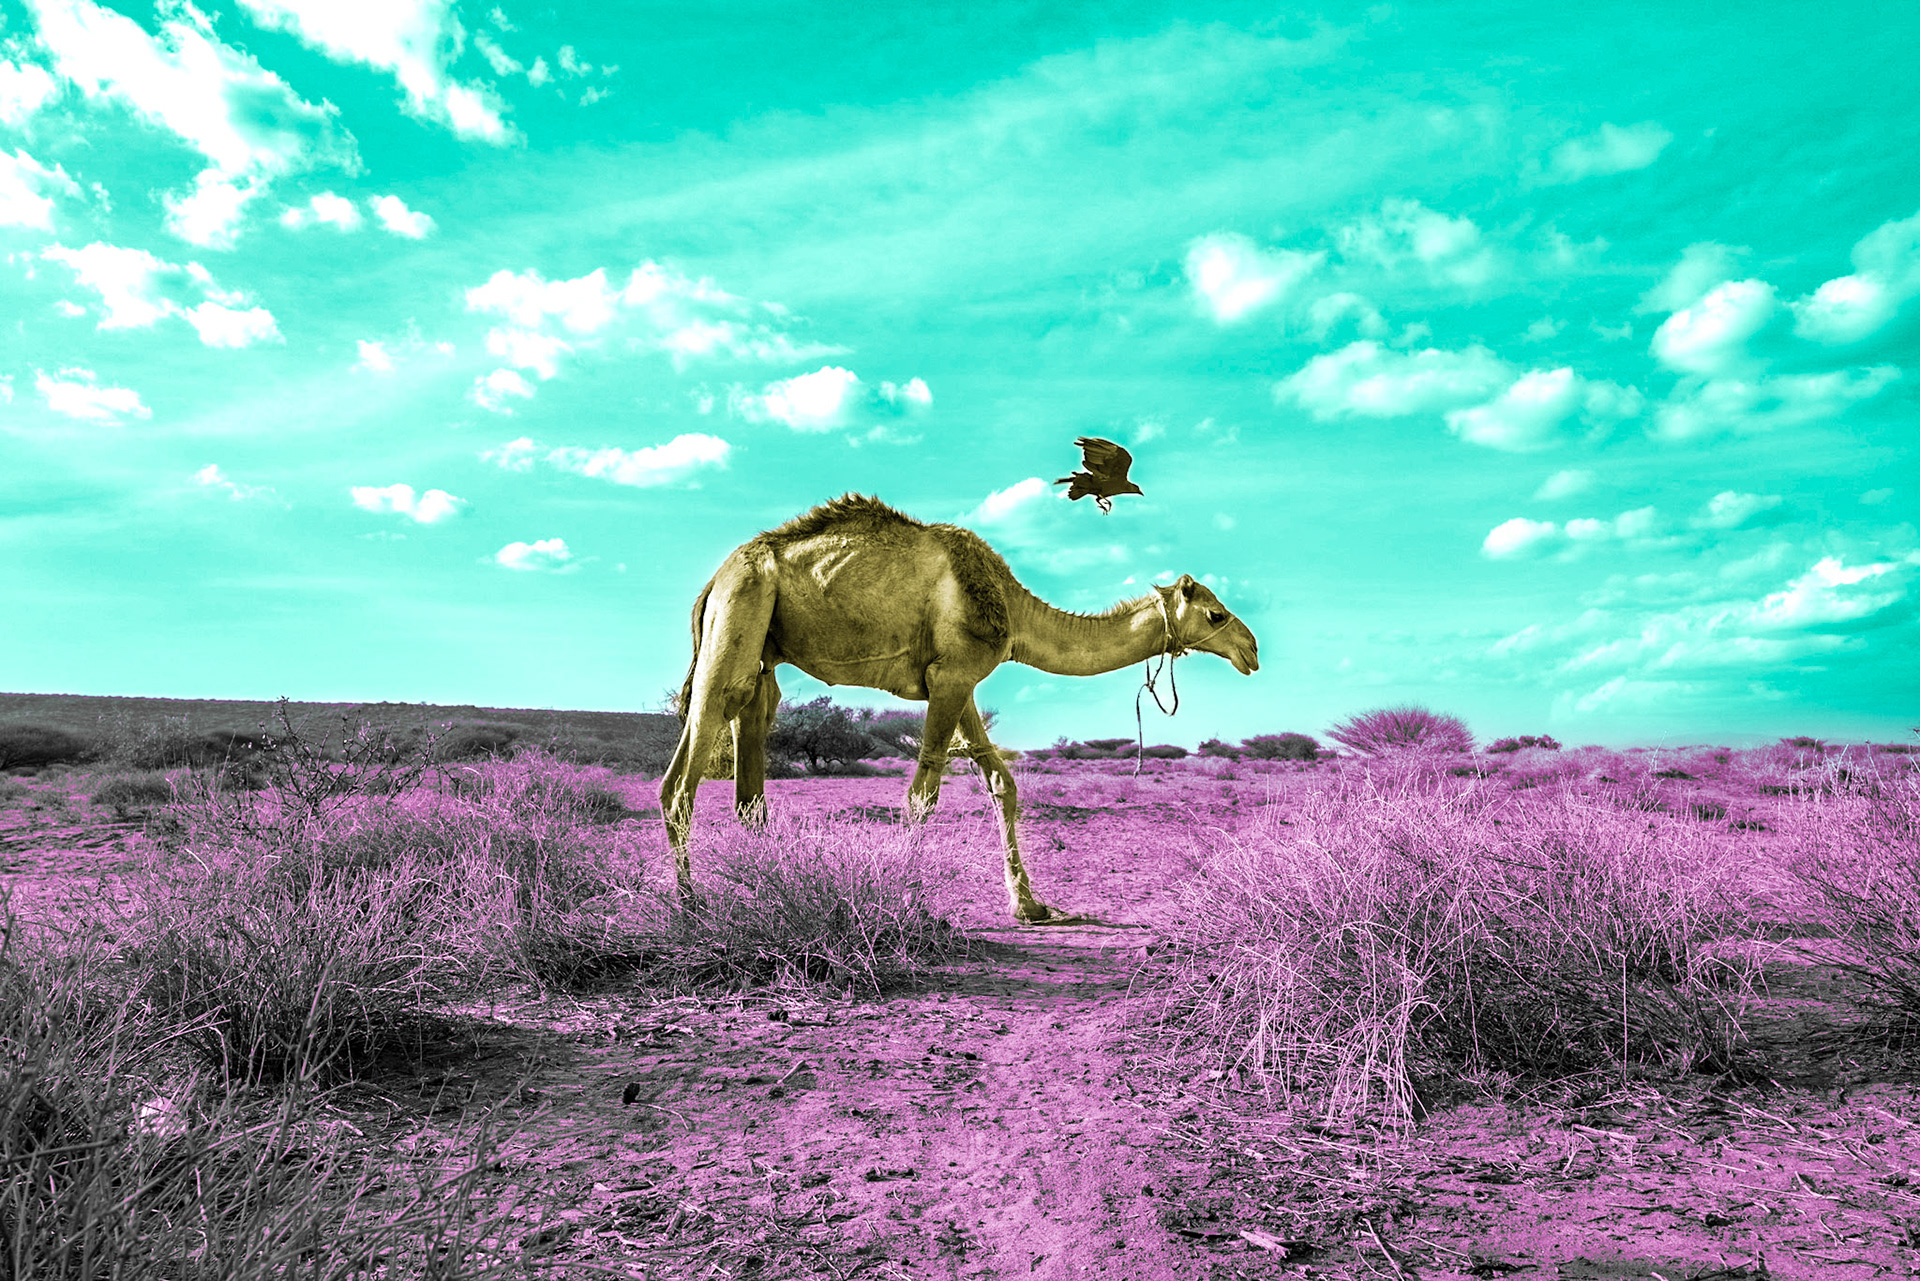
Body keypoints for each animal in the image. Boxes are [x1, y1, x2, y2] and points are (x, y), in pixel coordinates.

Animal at [660, 494, 1260, 922]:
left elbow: (1001, 782)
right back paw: (693, 906)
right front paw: (907, 897)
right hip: (739, 613)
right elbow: (923, 793)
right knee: (685, 778)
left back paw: (766, 888)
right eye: (1215, 613)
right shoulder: (950, 677)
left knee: (740, 774)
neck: (1012, 611)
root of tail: (714, 581)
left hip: (761, 646)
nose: (1252, 649)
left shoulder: (959, 680)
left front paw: (1030, 906)